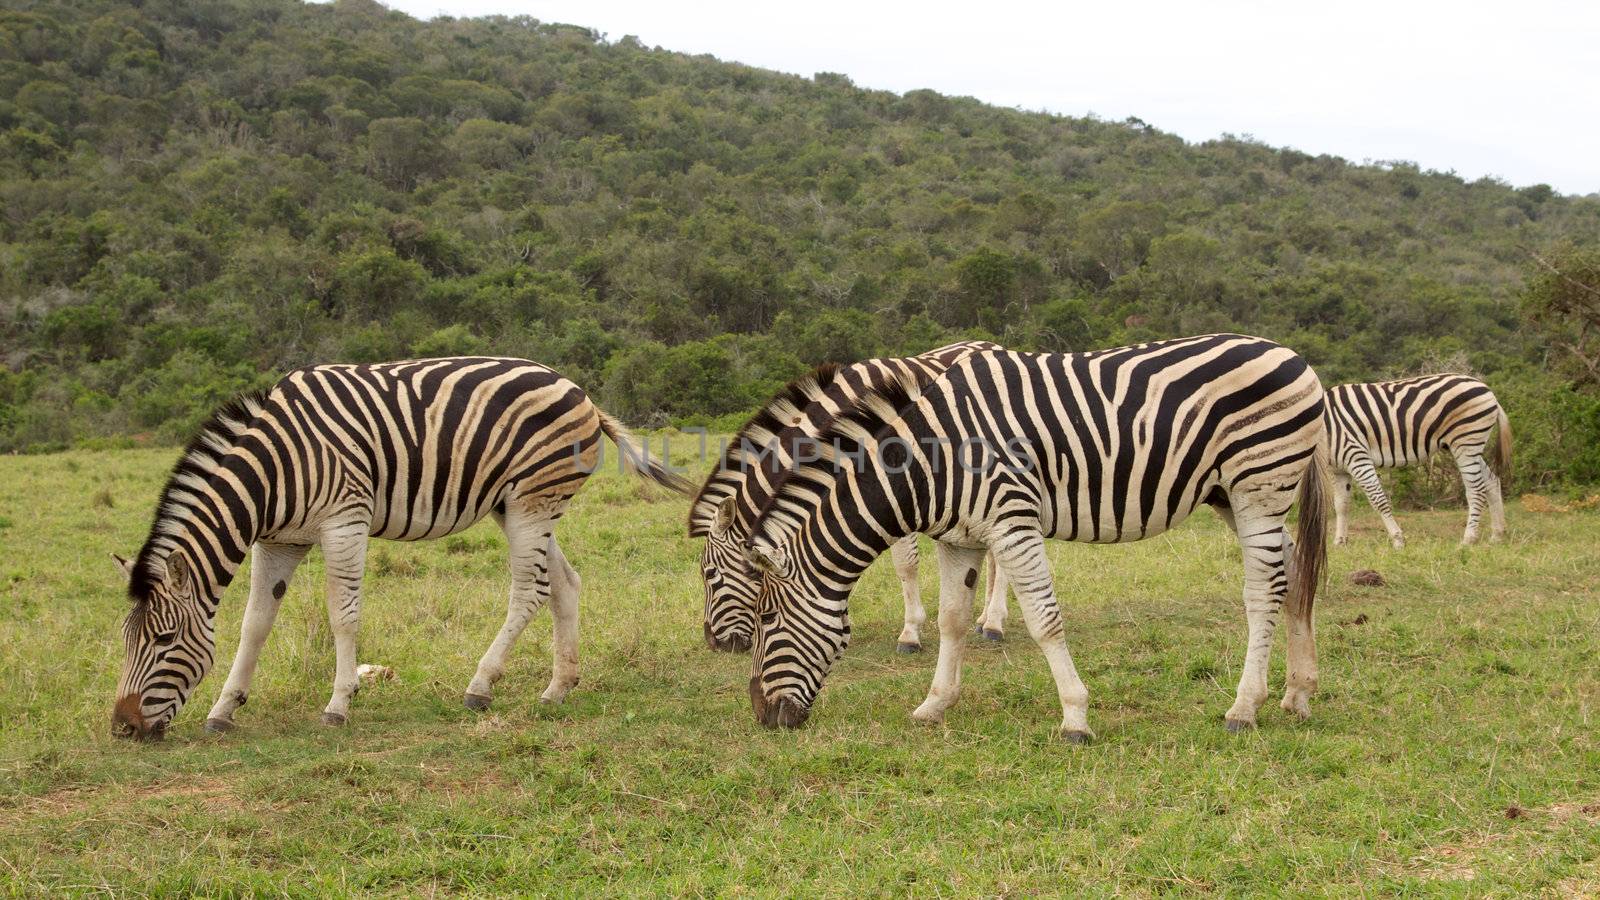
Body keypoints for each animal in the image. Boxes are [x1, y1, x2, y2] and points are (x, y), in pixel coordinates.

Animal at [111, 353, 688, 739]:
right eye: (126, 640)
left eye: (163, 641)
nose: (122, 728)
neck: (273, 473)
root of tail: (578, 389)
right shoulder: (279, 542)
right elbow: (255, 623)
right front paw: (223, 711)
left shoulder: (345, 520)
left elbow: (342, 616)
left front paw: (339, 703)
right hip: (519, 504)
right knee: (564, 583)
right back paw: (558, 688)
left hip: (532, 500)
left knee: (530, 590)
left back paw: (480, 685)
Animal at [688, 336, 1011, 650]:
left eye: (710, 574)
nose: (715, 644)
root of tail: (992, 345)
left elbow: (905, 565)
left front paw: (910, 633)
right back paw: (984, 618)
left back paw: (994, 623)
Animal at [736, 333, 1324, 739]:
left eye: (767, 618)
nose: (763, 717)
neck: (929, 461)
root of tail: (1293, 355)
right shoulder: (961, 537)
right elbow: (951, 621)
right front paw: (934, 705)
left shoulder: (1011, 519)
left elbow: (1045, 621)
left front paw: (1075, 718)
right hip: (1228, 494)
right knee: (1294, 572)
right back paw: (1297, 695)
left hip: (1258, 486)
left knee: (1264, 589)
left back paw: (1244, 708)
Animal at [1324, 373, 1510, 547]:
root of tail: (1485, 388)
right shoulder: (1339, 469)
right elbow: (1341, 505)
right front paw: (1340, 542)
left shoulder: (1357, 456)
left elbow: (1378, 500)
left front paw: (1398, 540)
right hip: (1467, 446)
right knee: (1492, 481)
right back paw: (1497, 535)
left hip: (1466, 442)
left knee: (1476, 489)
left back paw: (1468, 539)